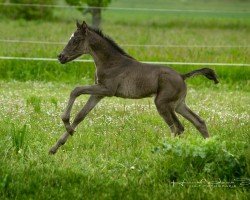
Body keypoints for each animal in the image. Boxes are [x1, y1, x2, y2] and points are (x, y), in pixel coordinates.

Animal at [48, 20, 217, 155]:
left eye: (76, 40)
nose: (61, 57)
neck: (111, 62)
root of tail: (182, 76)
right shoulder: (98, 93)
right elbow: (81, 115)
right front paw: (56, 146)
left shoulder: (107, 90)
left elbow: (76, 90)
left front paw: (66, 123)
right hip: (178, 104)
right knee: (198, 122)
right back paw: (209, 148)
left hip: (162, 103)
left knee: (176, 127)